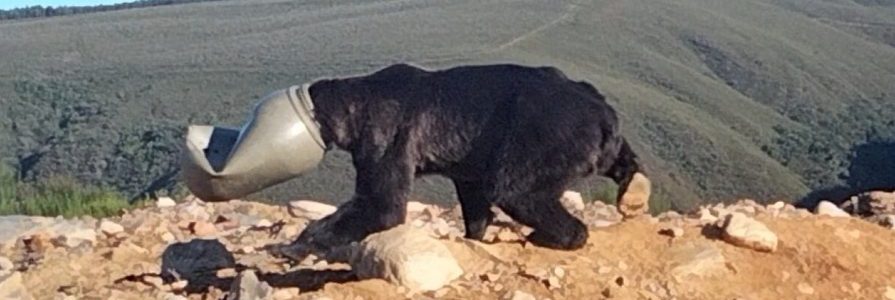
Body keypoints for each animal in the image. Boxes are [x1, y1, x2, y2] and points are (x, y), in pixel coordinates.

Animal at [272, 62, 652, 260]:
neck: (357, 106)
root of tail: (601, 112)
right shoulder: (468, 165)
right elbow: (474, 201)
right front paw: (474, 235)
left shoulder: (387, 136)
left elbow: (381, 204)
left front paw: (297, 243)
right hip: (588, 138)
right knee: (621, 160)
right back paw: (634, 192)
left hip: (543, 135)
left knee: (518, 191)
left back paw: (551, 236)